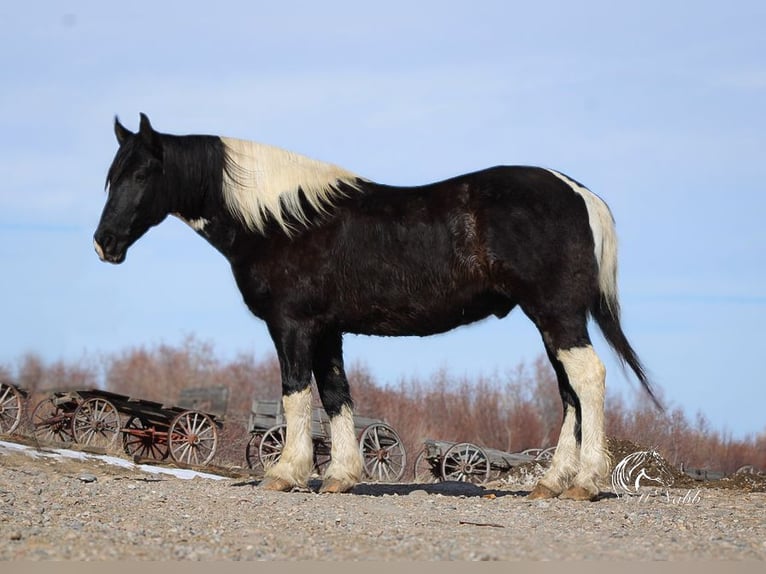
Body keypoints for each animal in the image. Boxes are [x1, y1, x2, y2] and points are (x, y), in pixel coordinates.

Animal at [96, 115, 660, 502]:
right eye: (112, 174)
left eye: (142, 173)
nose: (104, 243)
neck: (282, 220)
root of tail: (578, 192)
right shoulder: (327, 330)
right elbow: (336, 395)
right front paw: (340, 476)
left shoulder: (292, 326)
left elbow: (297, 394)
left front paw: (285, 473)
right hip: (550, 322)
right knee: (569, 394)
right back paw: (552, 482)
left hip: (557, 315)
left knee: (587, 380)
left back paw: (586, 483)